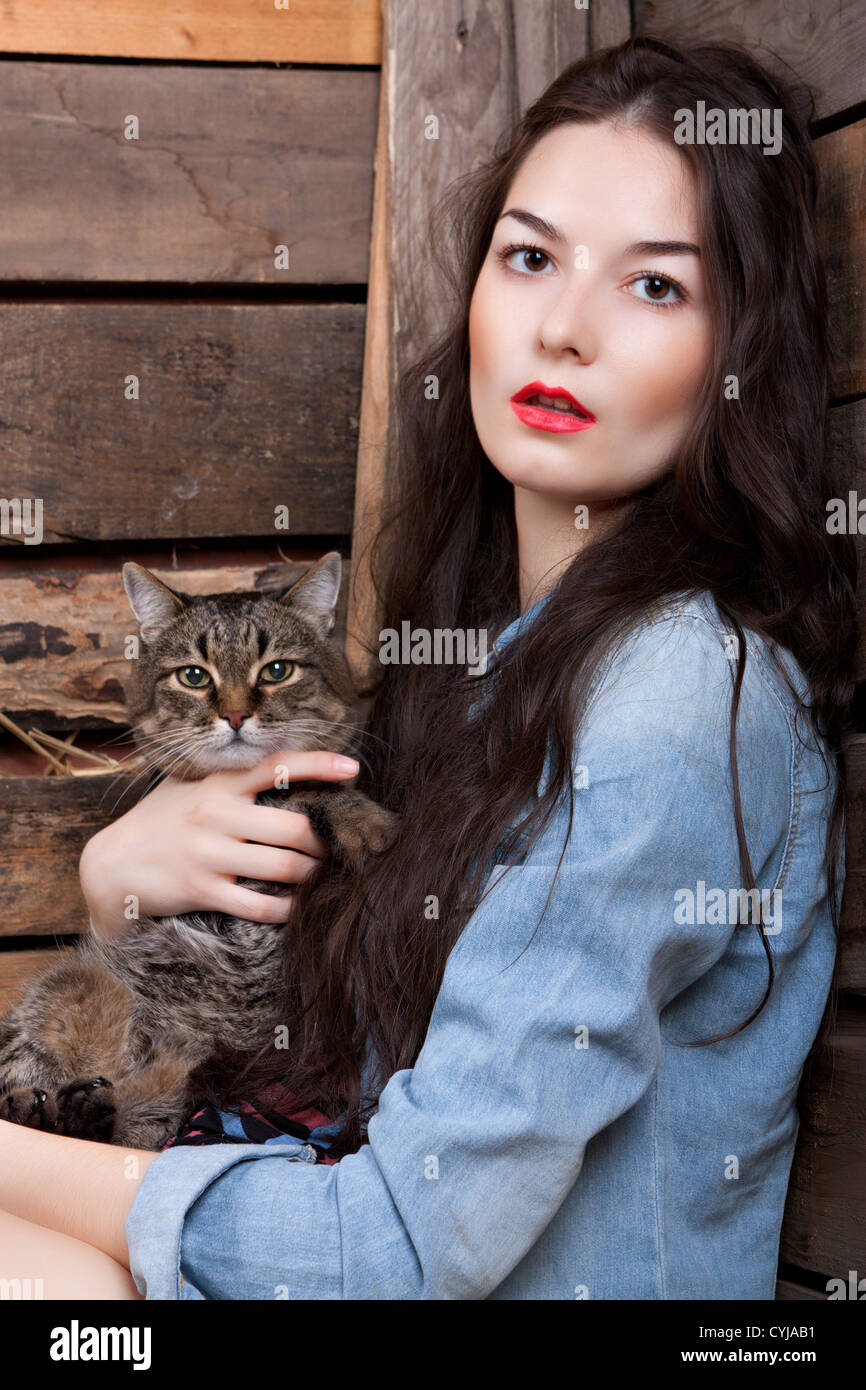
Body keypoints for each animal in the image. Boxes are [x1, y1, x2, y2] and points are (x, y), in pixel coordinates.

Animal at [0, 553, 397, 1150]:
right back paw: (41, 1108)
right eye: (194, 676)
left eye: (276, 671)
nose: (233, 716)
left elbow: (305, 781)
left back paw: (87, 1112)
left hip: (173, 1086)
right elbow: (307, 786)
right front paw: (365, 820)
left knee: (127, 1123)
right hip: (69, 990)